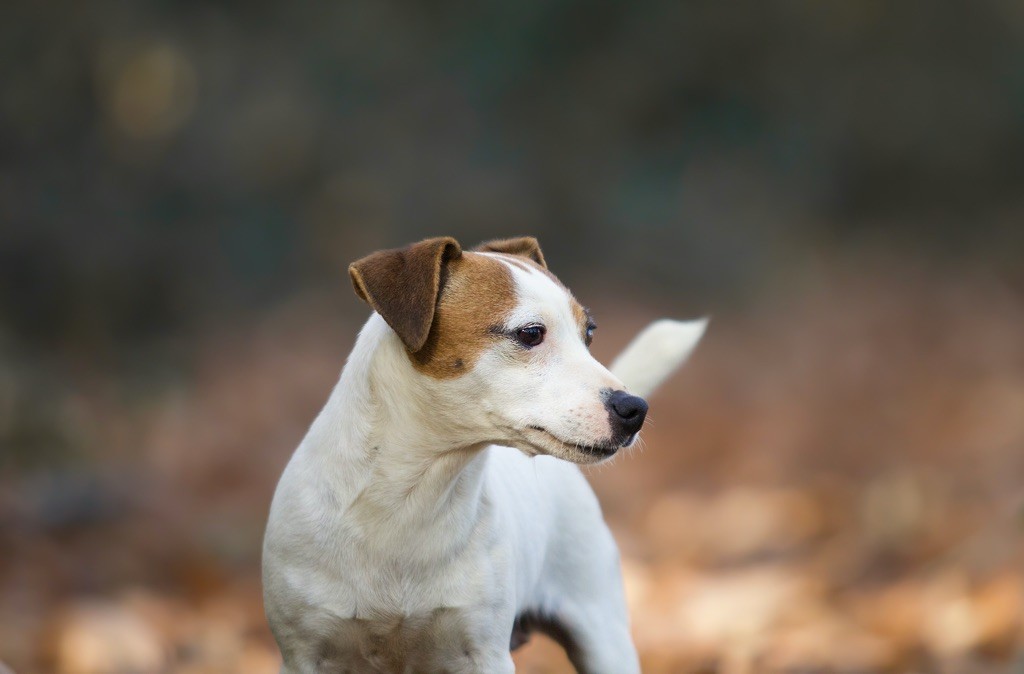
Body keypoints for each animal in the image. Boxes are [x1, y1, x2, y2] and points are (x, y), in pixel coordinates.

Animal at [262, 237, 704, 671]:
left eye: (589, 334)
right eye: (531, 333)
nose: (635, 409)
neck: (408, 500)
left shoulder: (484, 654)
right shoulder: (303, 655)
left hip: (602, 634)